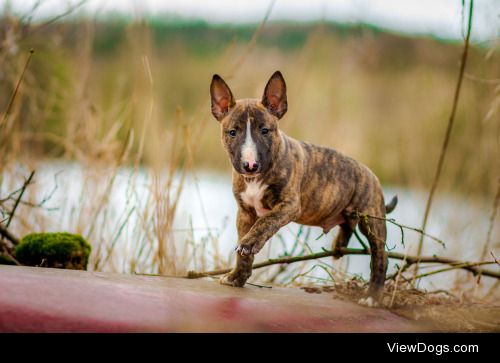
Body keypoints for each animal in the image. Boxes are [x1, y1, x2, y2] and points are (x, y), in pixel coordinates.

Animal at [209, 71, 396, 304]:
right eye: (233, 132)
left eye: (265, 130)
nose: (250, 166)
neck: (255, 178)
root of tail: (371, 174)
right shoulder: (244, 212)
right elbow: (242, 253)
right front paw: (236, 277)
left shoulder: (289, 205)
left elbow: (264, 223)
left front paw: (249, 243)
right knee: (348, 228)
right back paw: (339, 245)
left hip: (371, 219)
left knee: (381, 256)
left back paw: (372, 297)